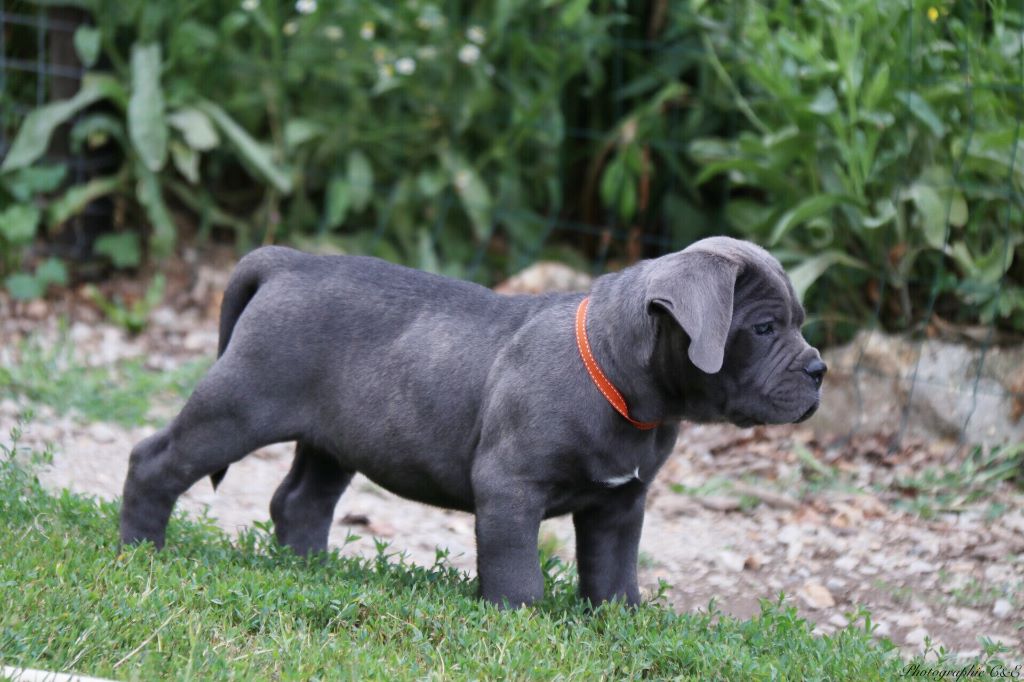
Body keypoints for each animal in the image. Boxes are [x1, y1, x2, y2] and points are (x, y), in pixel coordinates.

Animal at [121, 236, 823, 602]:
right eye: (764, 329)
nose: (818, 369)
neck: (623, 379)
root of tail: (288, 259)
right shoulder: (511, 488)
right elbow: (515, 566)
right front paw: (520, 618)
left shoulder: (621, 505)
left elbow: (613, 569)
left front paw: (618, 620)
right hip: (237, 407)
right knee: (156, 460)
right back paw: (139, 547)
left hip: (333, 440)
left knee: (300, 501)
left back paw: (309, 570)